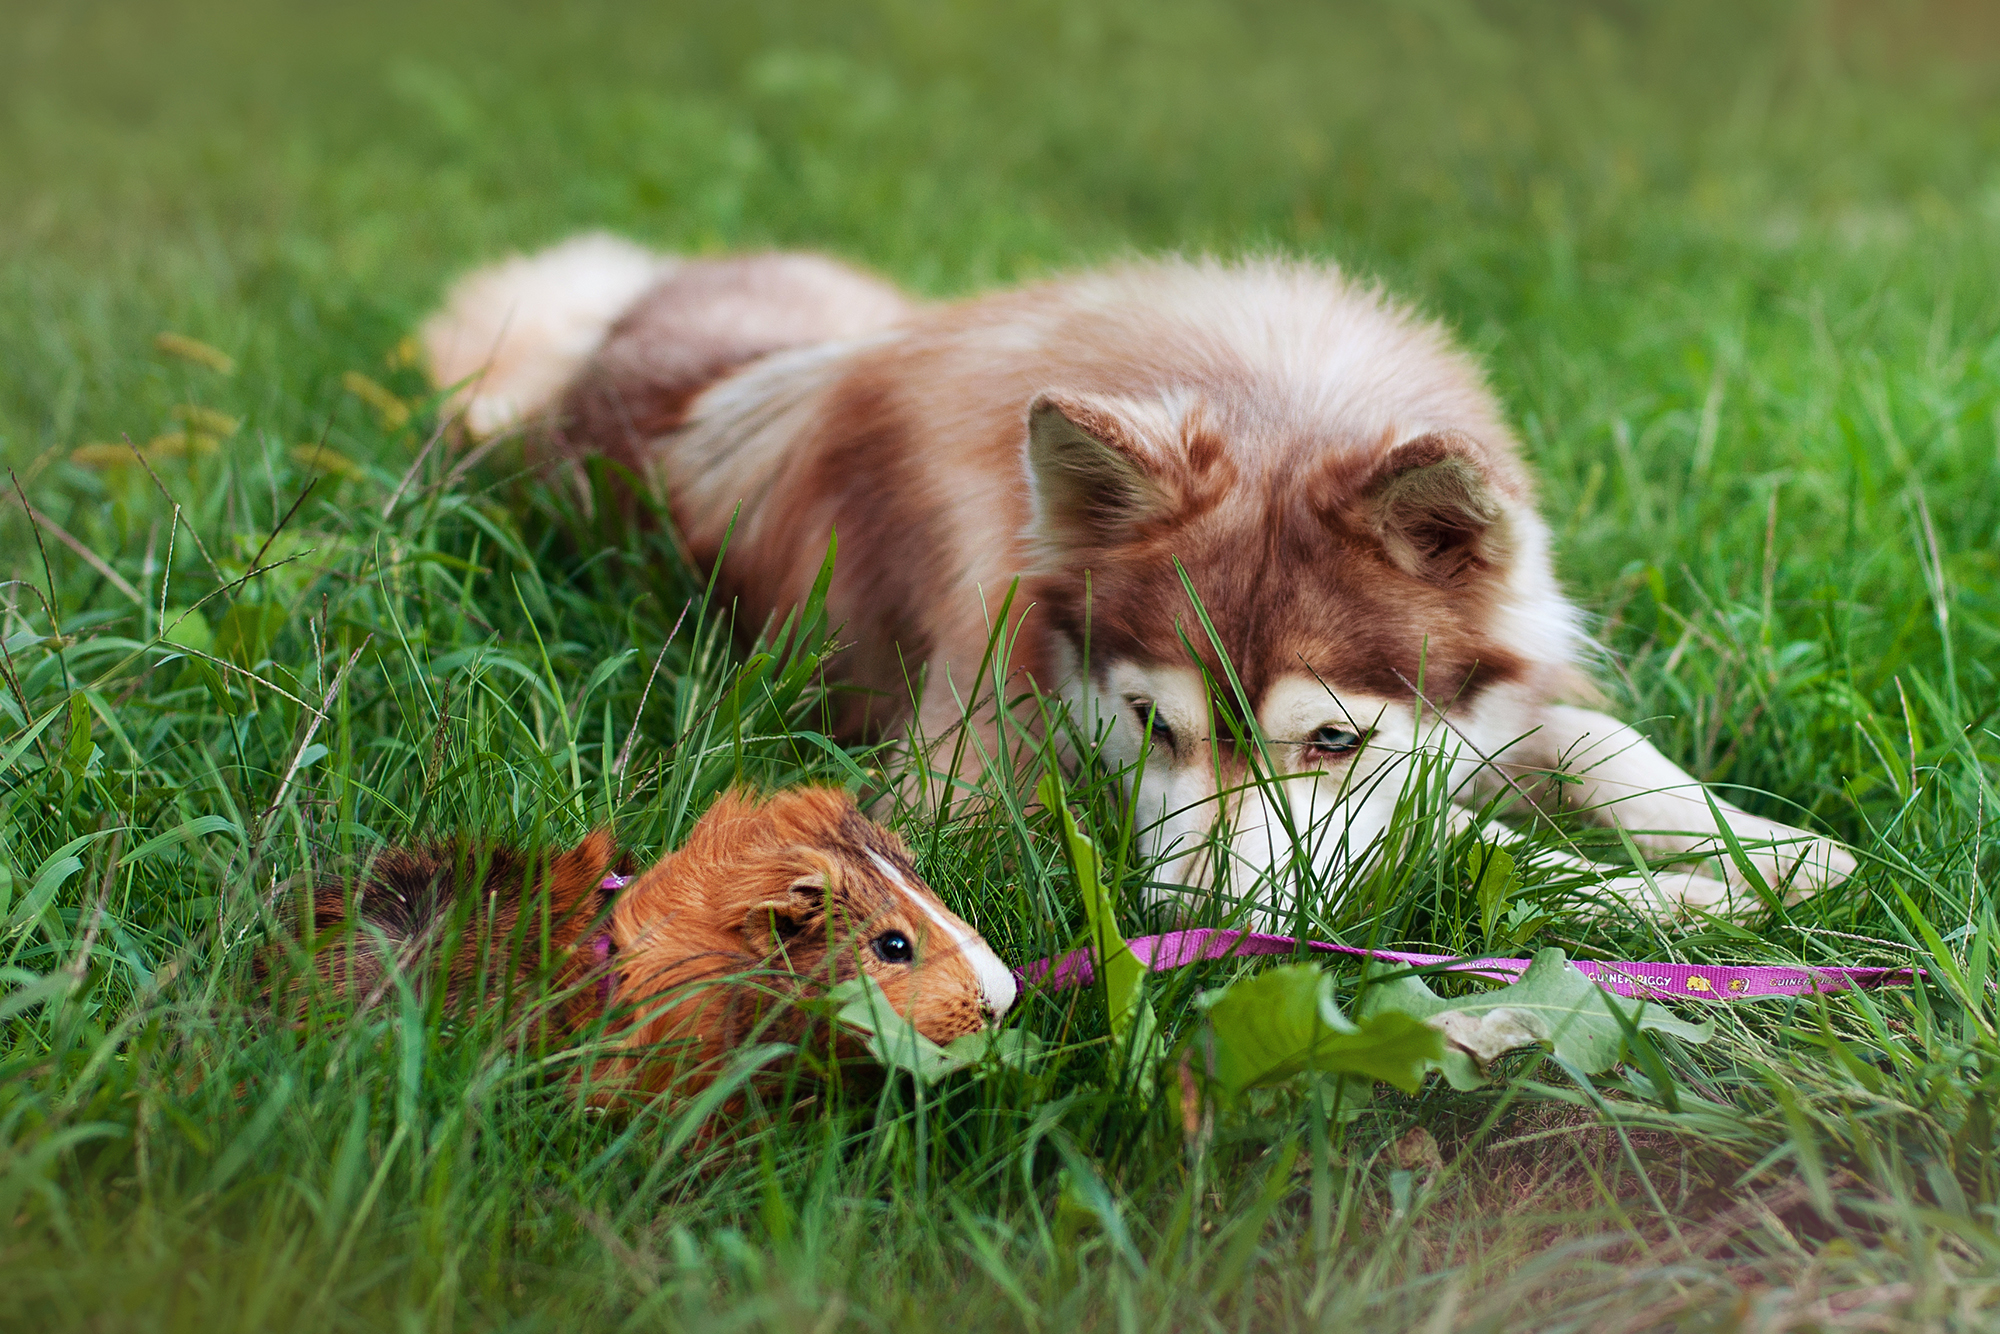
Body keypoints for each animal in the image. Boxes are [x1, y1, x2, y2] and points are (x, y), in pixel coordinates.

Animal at [418, 240, 1856, 924]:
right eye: (1150, 721)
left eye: (1333, 739)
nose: (1184, 924)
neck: (1264, 391)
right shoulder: (958, 795)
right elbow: (1445, 842)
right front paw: (1696, 897)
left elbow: (1597, 742)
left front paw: (1773, 848)